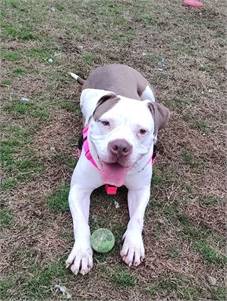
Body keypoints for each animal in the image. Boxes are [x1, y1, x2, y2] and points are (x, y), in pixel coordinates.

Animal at [64, 63, 169, 274]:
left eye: (142, 131)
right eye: (105, 122)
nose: (120, 146)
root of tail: (114, 65)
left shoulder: (140, 190)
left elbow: (137, 218)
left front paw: (134, 246)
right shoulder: (78, 190)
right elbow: (81, 223)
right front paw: (81, 253)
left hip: (148, 92)